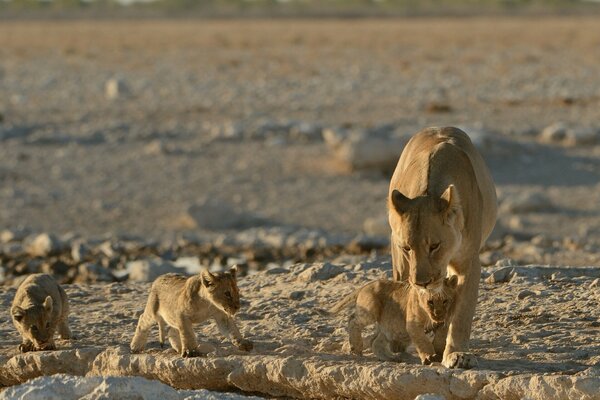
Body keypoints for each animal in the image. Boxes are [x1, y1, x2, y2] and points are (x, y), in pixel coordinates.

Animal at [390, 127, 496, 368]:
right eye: (407, 248)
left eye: (434, 245)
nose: (422, 282)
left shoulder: (469, 263)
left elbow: (461, 313)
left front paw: (457, 354)